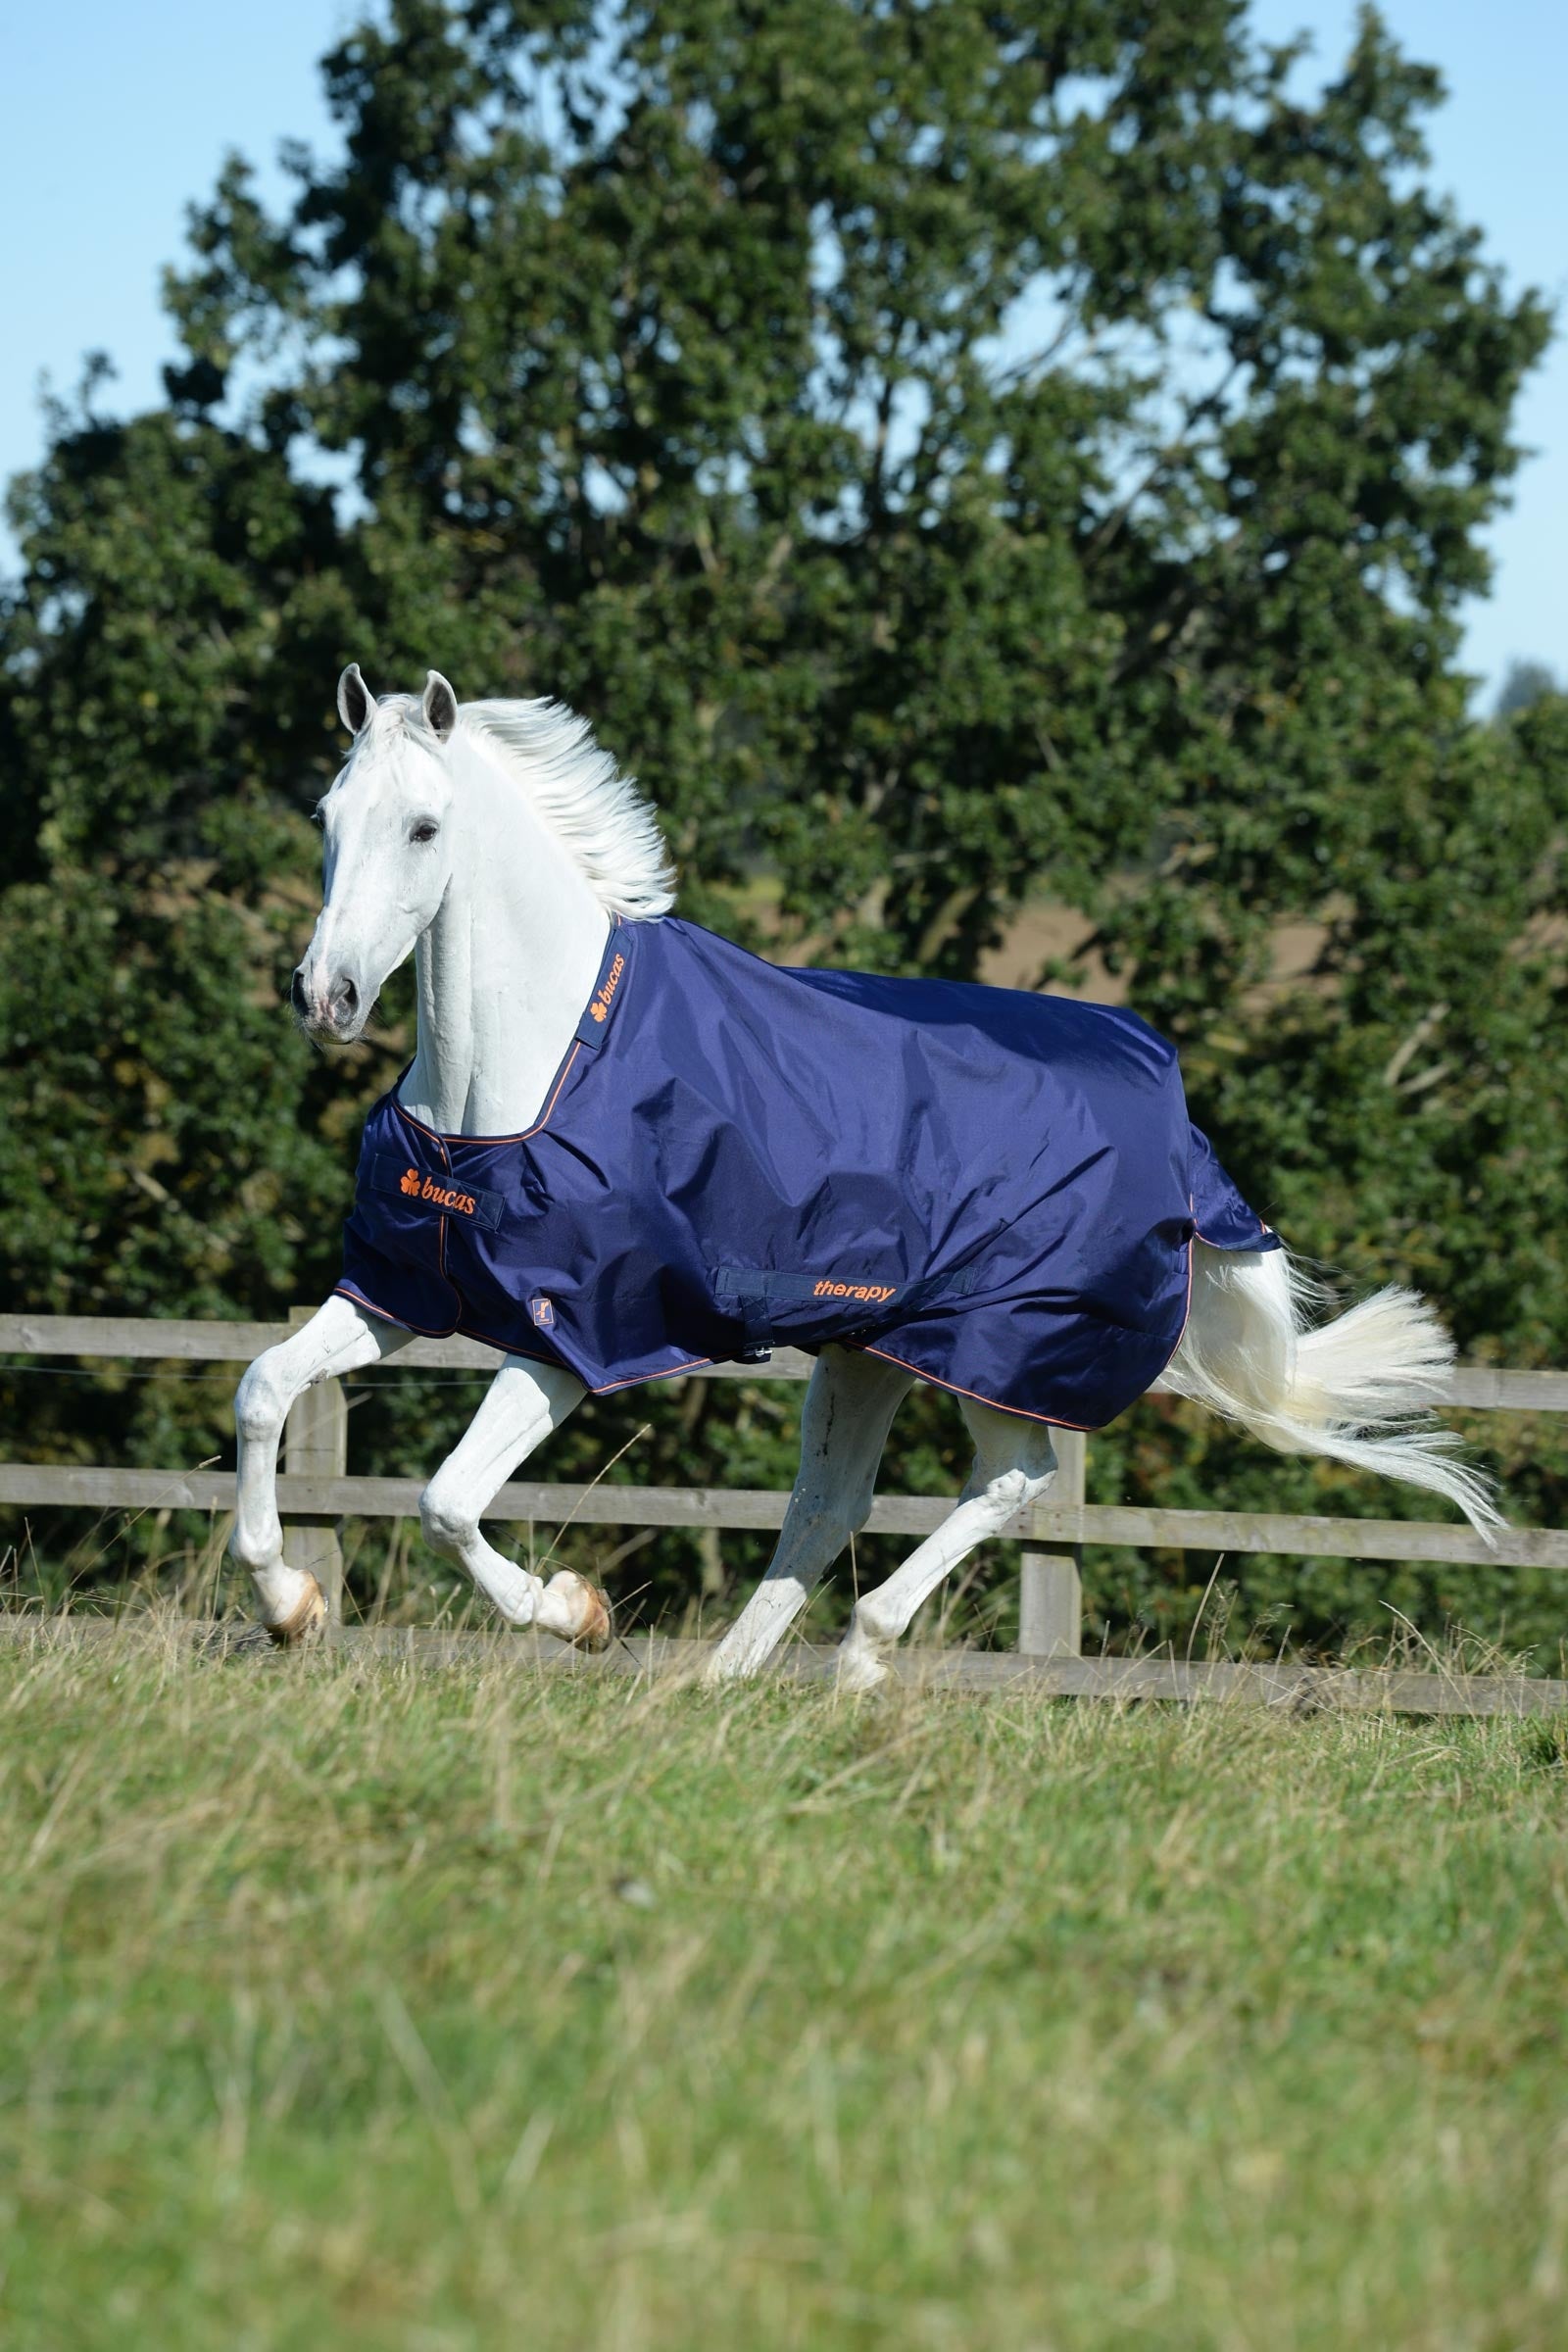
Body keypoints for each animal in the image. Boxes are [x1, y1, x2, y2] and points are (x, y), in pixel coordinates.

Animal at [229, 666, 1497, 1684]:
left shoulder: (569, 1336)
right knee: (832, 1502)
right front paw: (291, 1605)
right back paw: (720, 1684)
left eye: (424, 828)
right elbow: (263, 1389)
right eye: (327, 815)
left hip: (998, 1349)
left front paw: (576, 1612)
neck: (533, 1070)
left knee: (1016, 1481)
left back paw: (860, 1653)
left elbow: (446, 1502)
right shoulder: (403, 1294)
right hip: (865, 1349)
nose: (325, 998)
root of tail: (1173, 1108)